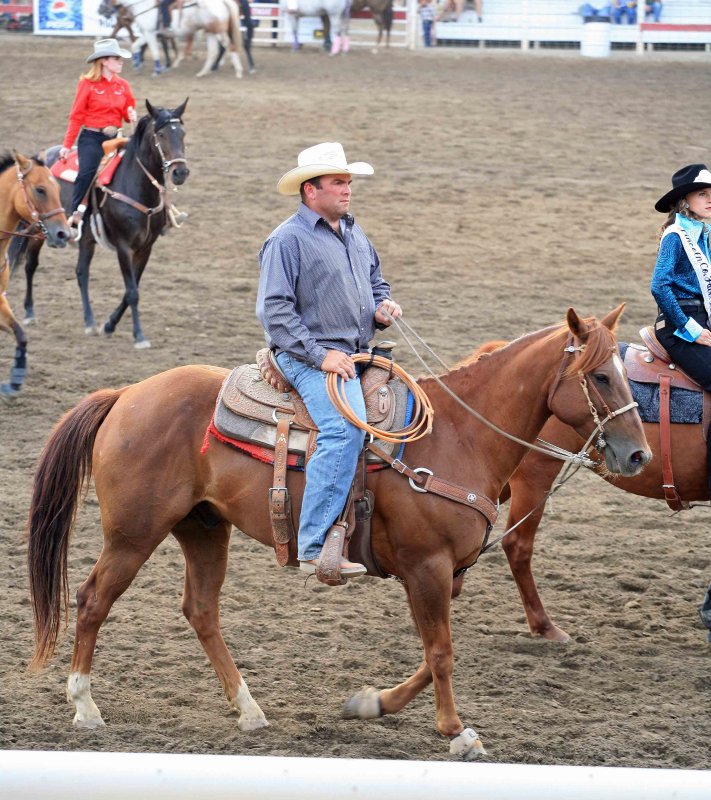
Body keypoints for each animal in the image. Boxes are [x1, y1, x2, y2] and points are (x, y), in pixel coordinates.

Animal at [9, 99, 188, 346]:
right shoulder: (123, 246)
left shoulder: (146, 247)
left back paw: (90, 321)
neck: (135, 185)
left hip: (86, 240)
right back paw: (29, 312)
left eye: (182, 133)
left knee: (81, 272)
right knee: (31, 265)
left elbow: (131, 288)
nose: (181, 172)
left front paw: (109, 324)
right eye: (160, 134)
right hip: (39, 231)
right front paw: (139, 335)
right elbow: (132, 291)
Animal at [27, 304, 652, 756]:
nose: (639, 455)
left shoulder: (448, 572)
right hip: (134, 534)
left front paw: (370, 704)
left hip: (203, 528)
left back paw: (249, 709)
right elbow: (442, 651)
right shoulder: (427, 568)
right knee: (92, 600)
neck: (459, 436)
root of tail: (125, 396)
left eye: (626, 374)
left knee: (200, 610)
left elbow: (430, 654)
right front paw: (456, 732)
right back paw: (85, 706)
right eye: (600, 376)